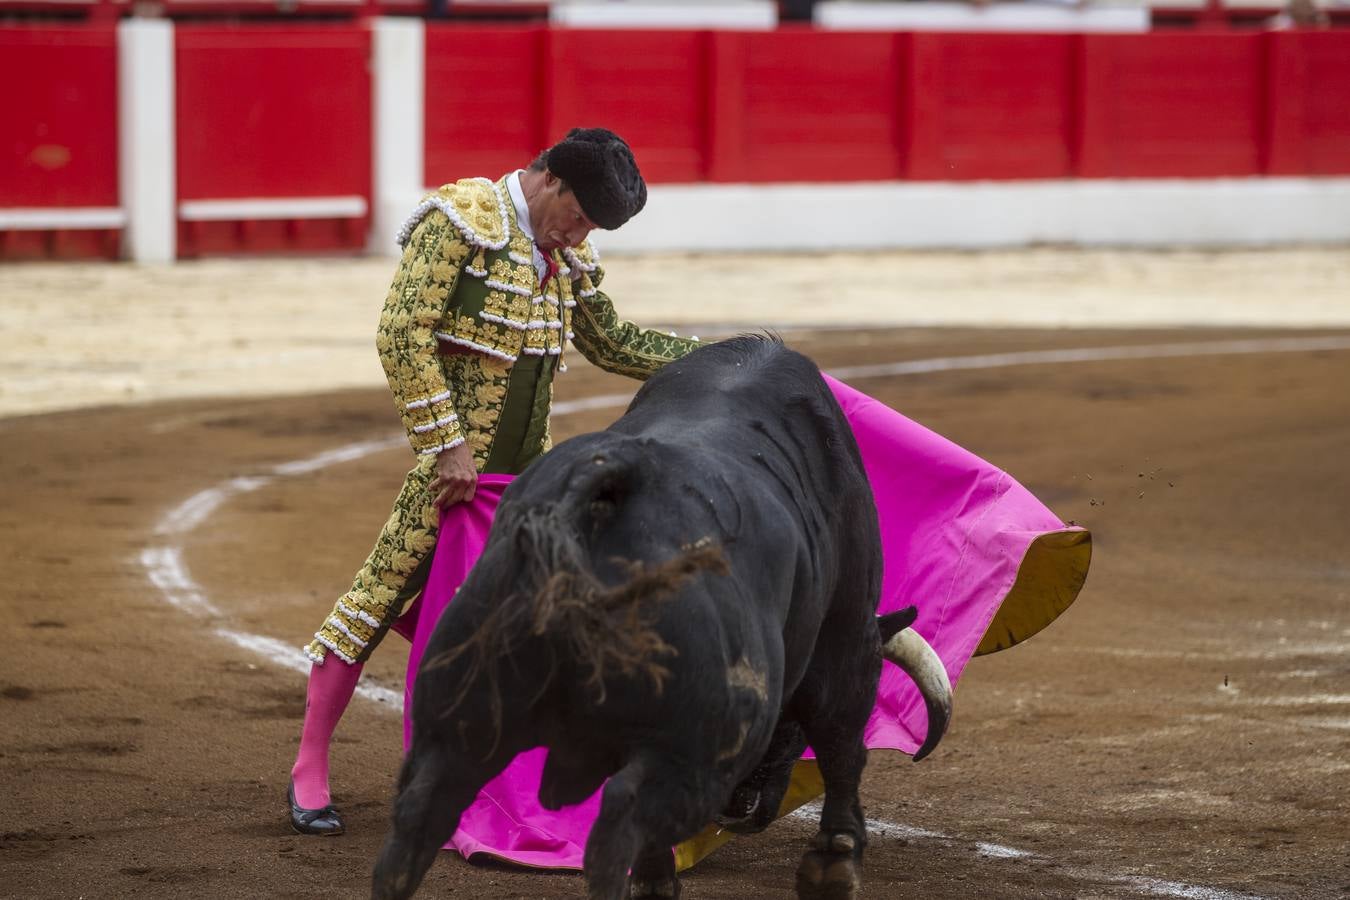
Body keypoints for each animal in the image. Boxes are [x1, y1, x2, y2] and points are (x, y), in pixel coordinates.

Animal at [372, 335, 950, 900]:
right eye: (790, 732)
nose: (741, 811)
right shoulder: (846, 635)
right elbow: (842, 746)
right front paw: (835, 864)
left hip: (459, 717)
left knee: (418, 818)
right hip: (695, 743)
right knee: (618, 824)